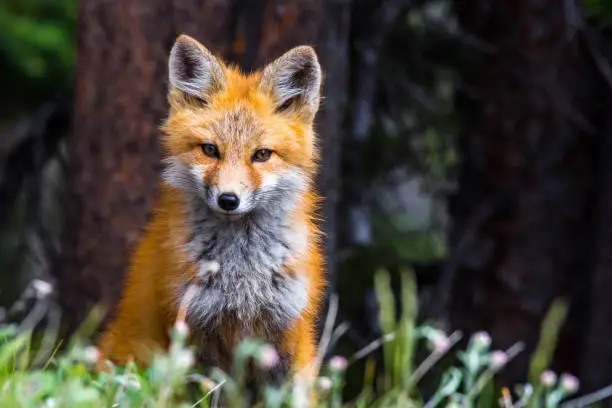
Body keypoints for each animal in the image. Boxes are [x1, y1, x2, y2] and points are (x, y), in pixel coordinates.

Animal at [97, 34, 326, 386]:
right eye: (209, 150)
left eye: (262, 155)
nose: (228, 199)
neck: (242, 275)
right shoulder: (194, 327)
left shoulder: (285, 331)